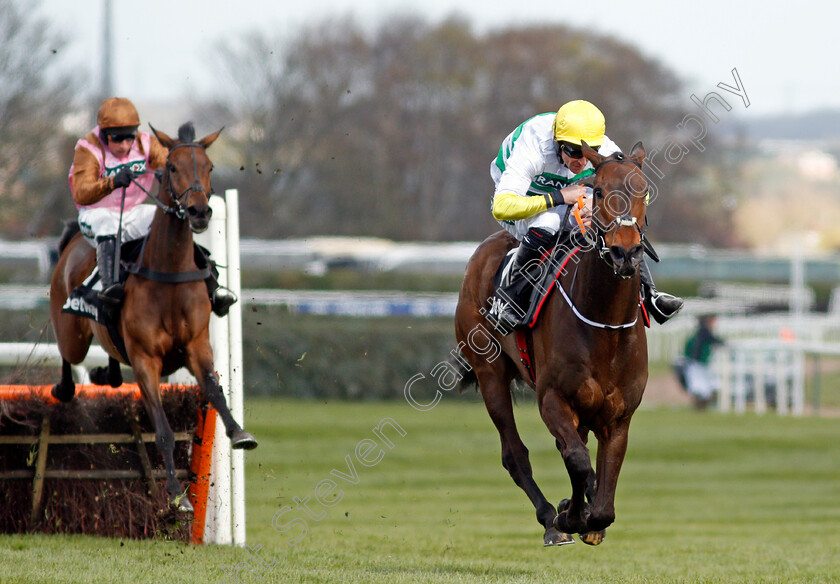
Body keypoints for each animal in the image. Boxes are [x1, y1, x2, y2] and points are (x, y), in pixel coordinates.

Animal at [50, 123, 256, 512]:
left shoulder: (197, 346)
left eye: (209, 166)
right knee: (68, 357)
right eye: (172, 168)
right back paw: (65, 387)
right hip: (71, 332)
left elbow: (215, 391)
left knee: (112, 362)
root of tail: (74, 241)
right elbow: (161, 429)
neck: (168, 274)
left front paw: (239, 433)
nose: (199, 212)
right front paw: (176, 493)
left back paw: (106, 375)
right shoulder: (146, 359)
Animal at [460, 141, 648, 548]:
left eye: (644, 192)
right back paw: (550, 519)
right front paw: (569, 516)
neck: (606, 325)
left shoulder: (619, 415)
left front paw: (590, 516)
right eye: (598, 191)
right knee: (515, 455)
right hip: (489, 373)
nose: (626, 253)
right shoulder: (553, 398)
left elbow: (602, 486)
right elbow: (576, 460)